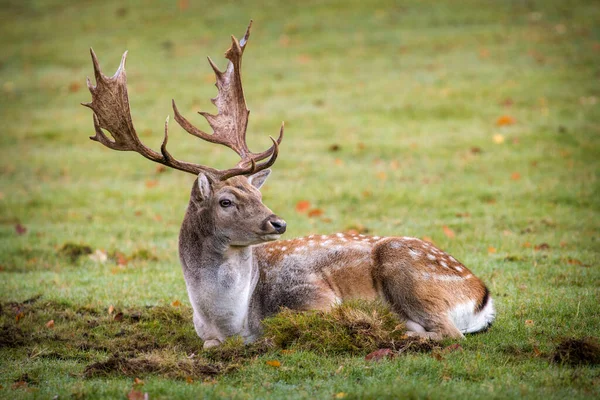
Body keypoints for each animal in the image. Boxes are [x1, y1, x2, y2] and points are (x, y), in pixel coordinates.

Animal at [84, 21, 496, 348]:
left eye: (258, 192)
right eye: (226, 201)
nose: (278, 222)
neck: (231, 319)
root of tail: (482, 295)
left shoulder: (315, 297)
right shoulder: (207, 336)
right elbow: (210, 346)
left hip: (406, 270)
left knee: (449, 333)